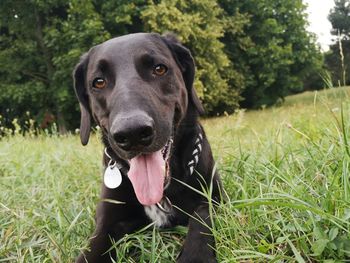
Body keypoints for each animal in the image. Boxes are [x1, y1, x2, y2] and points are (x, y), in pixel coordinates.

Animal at [72, 33, 223, 263]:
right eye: (98, 82)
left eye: (159, 69)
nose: (132, 132)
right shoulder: (107, 221)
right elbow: (91, 251)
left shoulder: (214, 197)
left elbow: (202, 216)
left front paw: (195, 256)